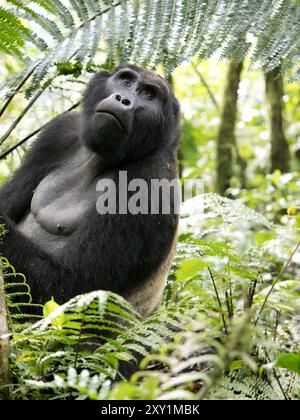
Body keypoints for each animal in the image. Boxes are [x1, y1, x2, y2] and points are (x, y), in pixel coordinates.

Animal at [0, 64, 180, 316]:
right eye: (125, 80)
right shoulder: (59, 132)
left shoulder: (149, 183)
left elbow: (68, 288)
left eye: (148, 94)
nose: (123, 99)